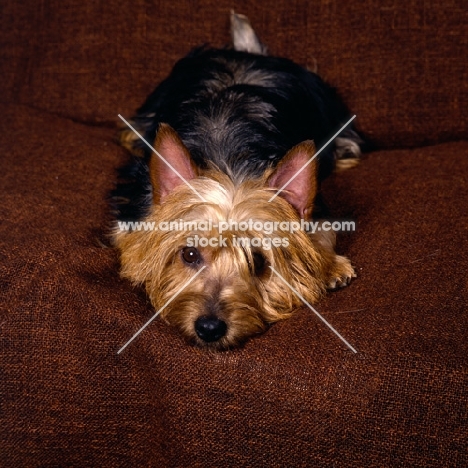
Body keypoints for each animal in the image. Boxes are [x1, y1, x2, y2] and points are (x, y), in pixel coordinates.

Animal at [112, 11, 362, 348]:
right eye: (189, 254)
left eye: (258, 262)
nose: (209, 328)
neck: (227, 161)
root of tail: (246, 53)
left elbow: (323, 231)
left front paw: (330, 264)